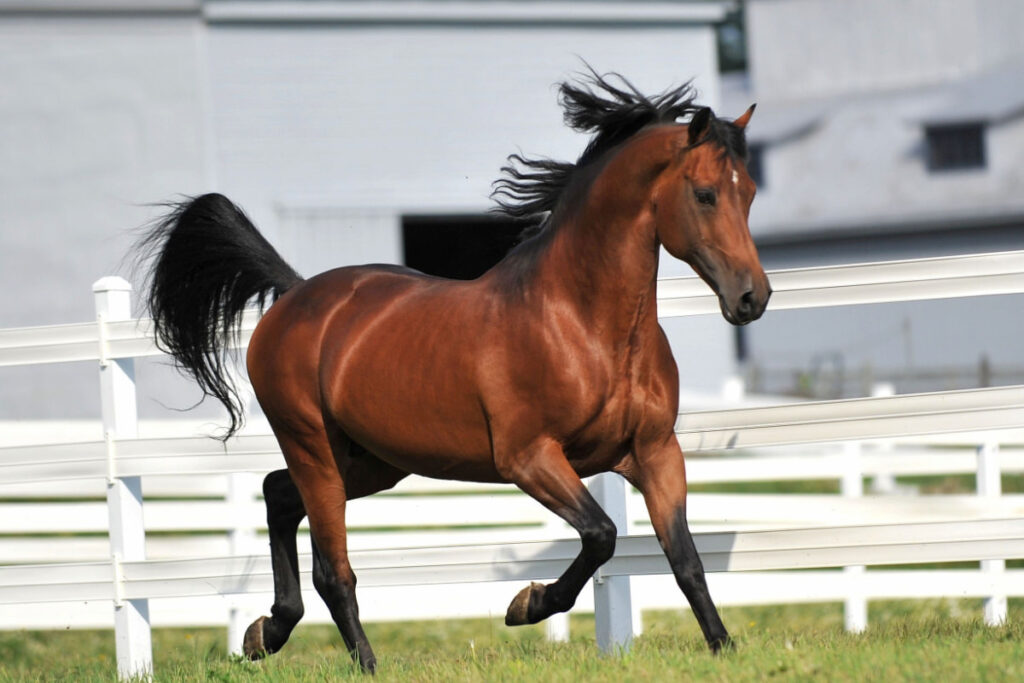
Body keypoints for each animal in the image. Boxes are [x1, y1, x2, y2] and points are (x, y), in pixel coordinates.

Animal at [136, 72, 770, 671]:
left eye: (751, 193)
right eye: (706, 194)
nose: (752, 298)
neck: (584, 325)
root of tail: (294, 294)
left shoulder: (655, 453)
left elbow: (685, 559)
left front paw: (723, 648)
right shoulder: (529, 458)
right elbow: (602, 536)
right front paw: (527, 605)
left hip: (373, 462)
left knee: (276, 494)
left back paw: (264, 632)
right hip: (313, 448)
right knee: (333, 570)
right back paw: (360, 663)